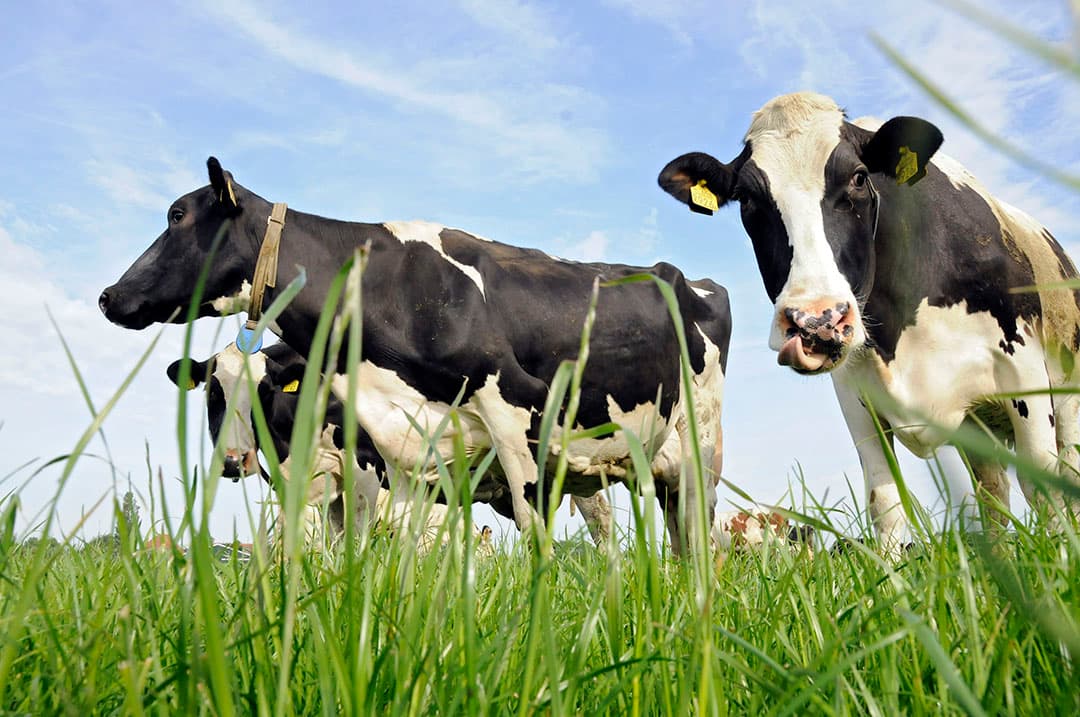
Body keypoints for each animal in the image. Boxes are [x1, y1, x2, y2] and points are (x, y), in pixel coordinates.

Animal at [659, 91, 1080, 549]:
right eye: (749, 199)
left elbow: (1046, 487)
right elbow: (886, 504)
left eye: (859, 178)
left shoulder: (1024, 370)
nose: (815, 321)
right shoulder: (855, 396)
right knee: (992, 493)